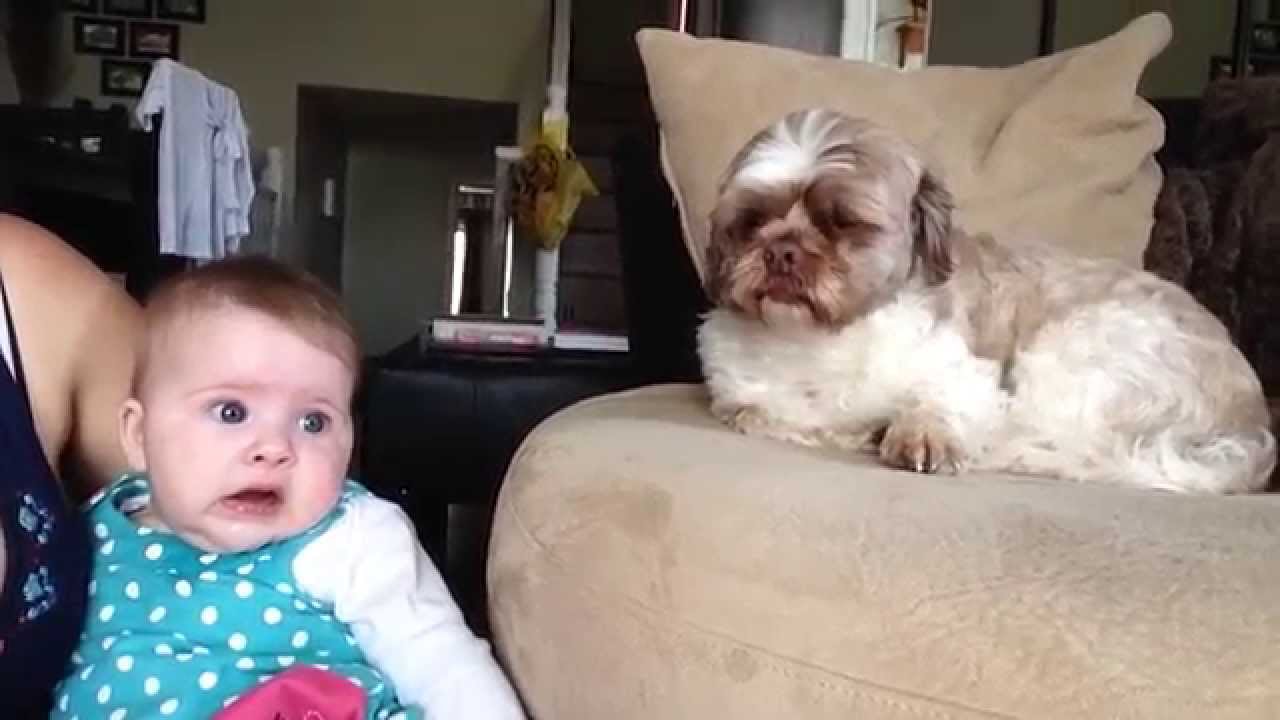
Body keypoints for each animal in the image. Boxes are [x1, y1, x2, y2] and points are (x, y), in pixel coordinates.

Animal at [697, 108, 1275, 493]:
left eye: (843, 223)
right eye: (751, 222)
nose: (781, 251)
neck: (825, 338)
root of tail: (1250, 426)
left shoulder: (966, 376)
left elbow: (940, 402)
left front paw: (921, 436)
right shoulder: (741, 396)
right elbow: (763, 410)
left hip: (1078, 351)